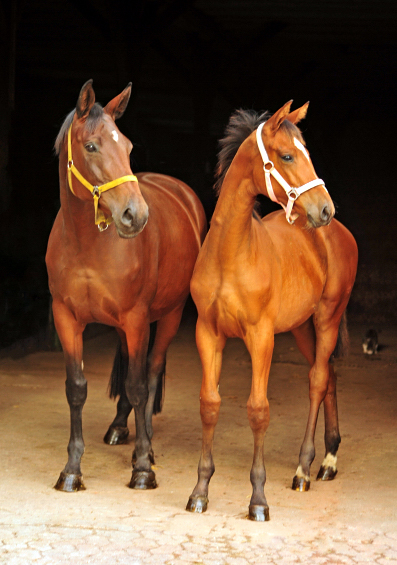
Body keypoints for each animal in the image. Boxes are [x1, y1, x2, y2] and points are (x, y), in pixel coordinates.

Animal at [46, 81, 206, 492]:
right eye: (91, 146)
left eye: (129, 148)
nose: (136, 215)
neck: (86, 245)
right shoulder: (66, 318)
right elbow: (76, 388)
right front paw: (71, 470)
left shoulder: (136, 319)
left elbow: (138, 386)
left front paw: (143, 467)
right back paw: (120, 427)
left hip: (169, 315)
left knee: (150, 372)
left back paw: (142, 445)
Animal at [185, 100, 356, 520]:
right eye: (288, 155)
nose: (324, 209)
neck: (231, 254)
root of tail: (338, 231)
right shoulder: (207, 334)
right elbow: (209, 404)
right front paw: (200, 492)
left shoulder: (260, 336)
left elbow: (258, 410)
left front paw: (258, 500)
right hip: (301, 327)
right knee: (329, 376)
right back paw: (328, 459)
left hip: (327, 318)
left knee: (317, 380)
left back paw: (305, 469)